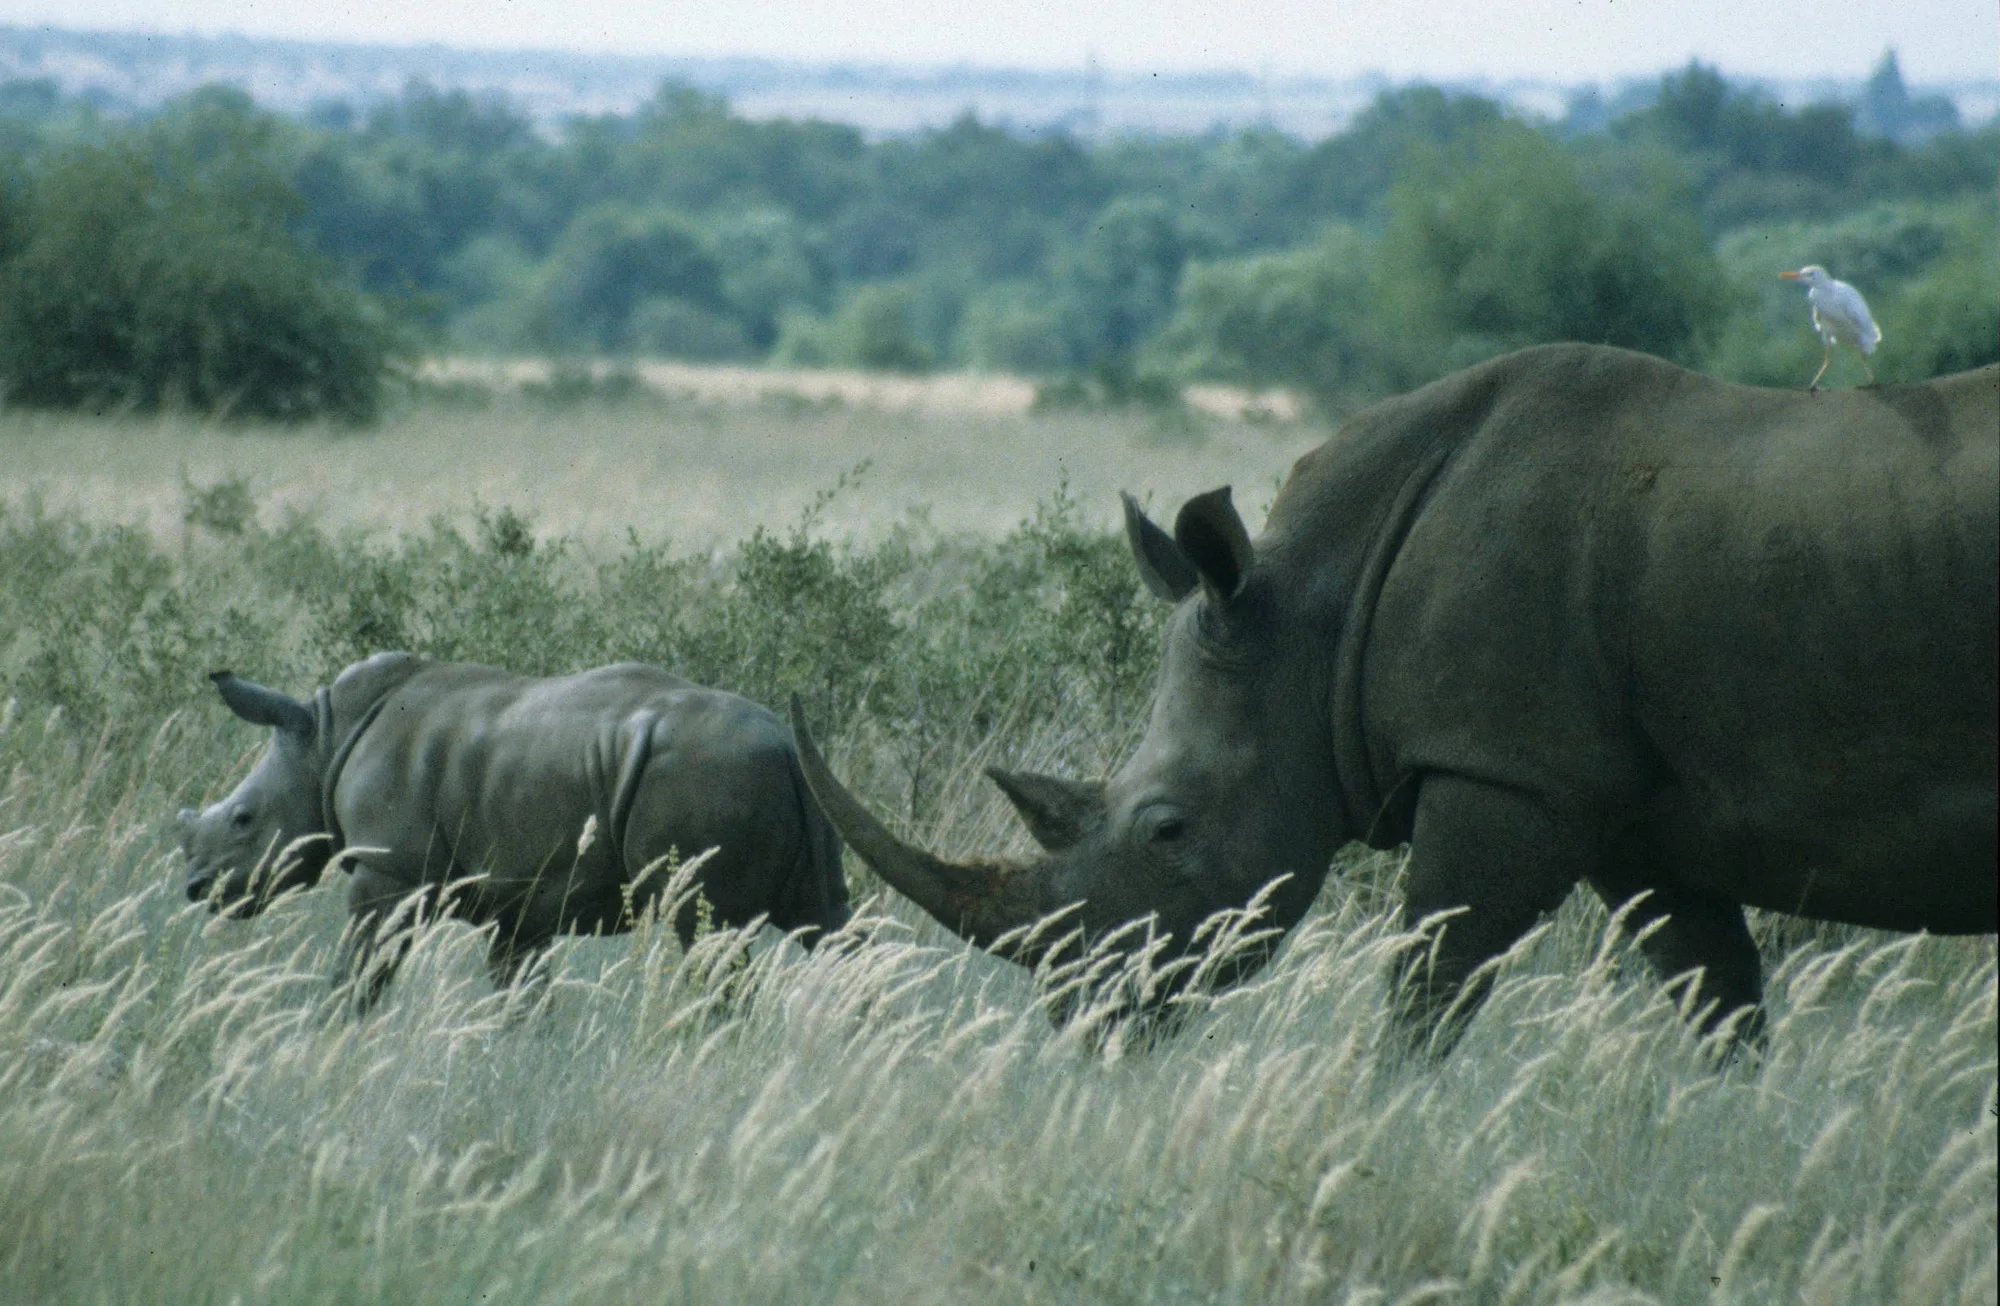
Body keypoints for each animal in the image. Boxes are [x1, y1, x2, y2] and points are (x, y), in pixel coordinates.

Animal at [179, 653, 849, 1010]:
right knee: (828, 926)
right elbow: (519, 996)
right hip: (792, 792)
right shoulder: (517, 902)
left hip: (707, 776)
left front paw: (333, 1037)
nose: (196, 888)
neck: (321, 737)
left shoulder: (389, 870)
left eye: (243, 820)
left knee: (707, 931)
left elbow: (360, 971)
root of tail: (785, 741)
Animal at [792, 344, 1998, 1057]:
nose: (1086, 1014)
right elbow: (1716, 996)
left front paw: (1386, 1122)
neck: (1308, 616)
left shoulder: (1504, 768)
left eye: (1167, 829)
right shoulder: (1616, 797)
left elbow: (1429, 985)